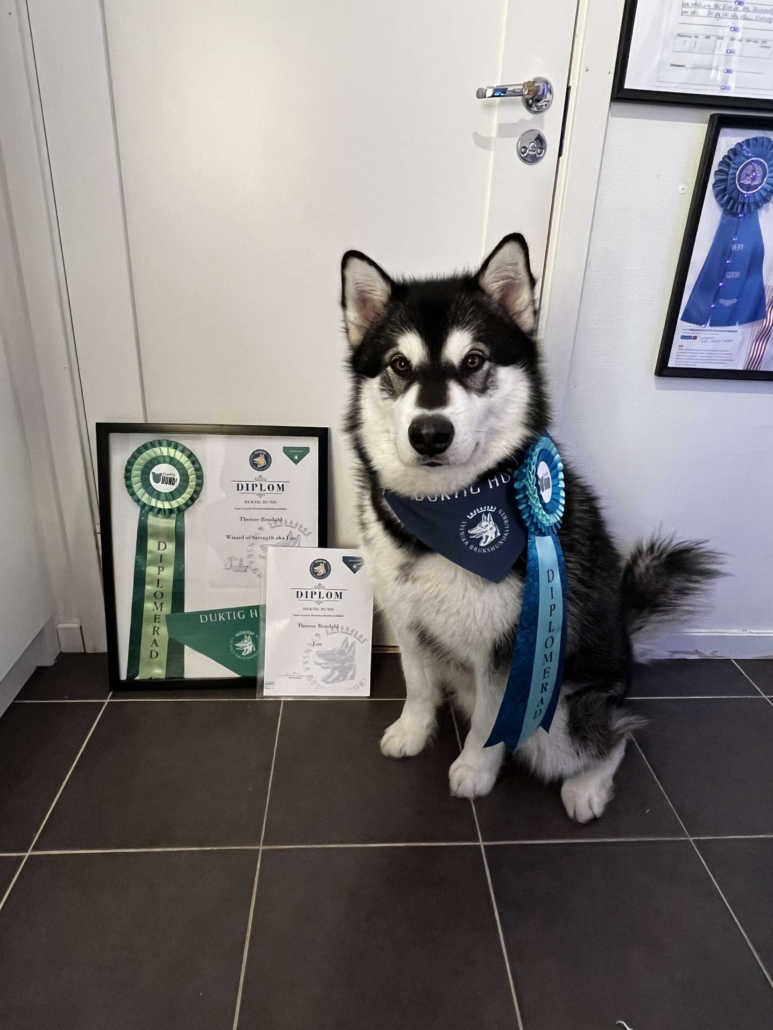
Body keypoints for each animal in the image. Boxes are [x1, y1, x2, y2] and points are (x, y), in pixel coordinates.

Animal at [340, 234, 720, 822]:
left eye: (474, 360)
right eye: (399, 364)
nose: (430, 433)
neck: (440, 517)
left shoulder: (508, 649)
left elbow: (491, 725)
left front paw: (474, 771)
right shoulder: (406, 619)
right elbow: (418, 685)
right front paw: (412, 731)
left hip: (561, 715)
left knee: (618, 735)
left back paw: (587, 788)